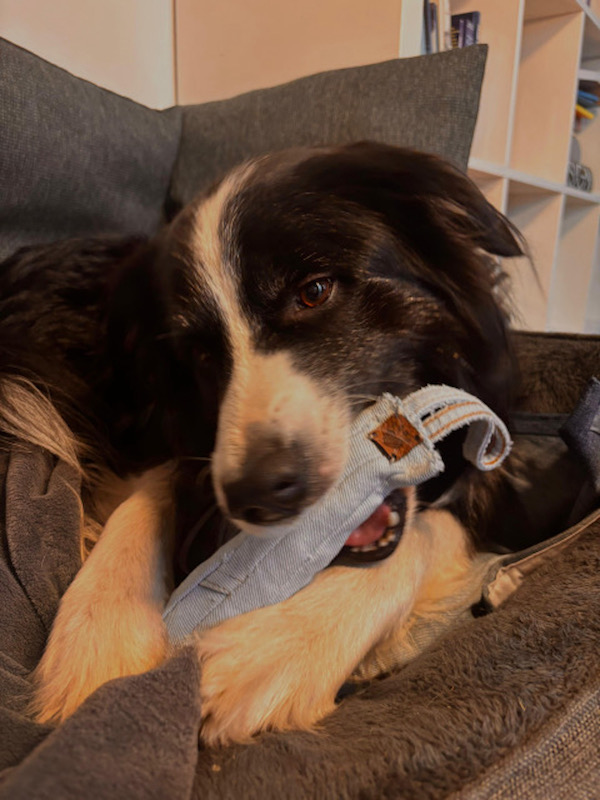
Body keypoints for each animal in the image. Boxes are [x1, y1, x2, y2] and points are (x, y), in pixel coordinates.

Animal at [0, 142, 523, 744]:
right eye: (198, 353)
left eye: (314, 292)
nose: (257, 496)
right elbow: (156, 485)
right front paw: (103, 625)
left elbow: (430, 531)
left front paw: (273, 648)